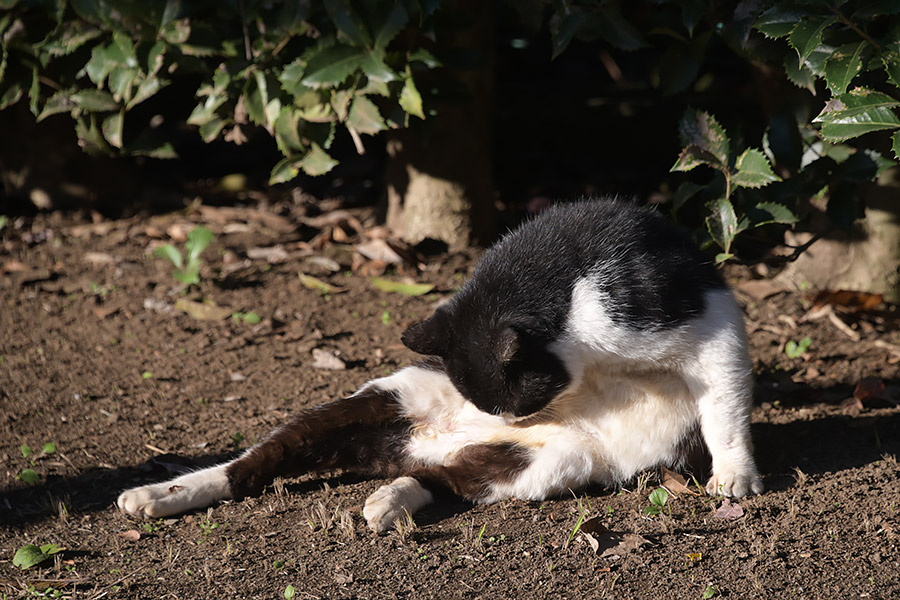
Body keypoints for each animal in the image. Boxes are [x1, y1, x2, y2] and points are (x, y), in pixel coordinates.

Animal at [116, 199, 764, 532]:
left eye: (516, 402)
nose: (509, 420)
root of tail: (434, 441)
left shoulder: (708, 322)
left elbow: (726, 408)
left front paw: (734, 478)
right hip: (387, 396)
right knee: (252, 463)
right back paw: (154, 494)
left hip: (537, 467)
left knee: (439, 480)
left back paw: (386, 502)